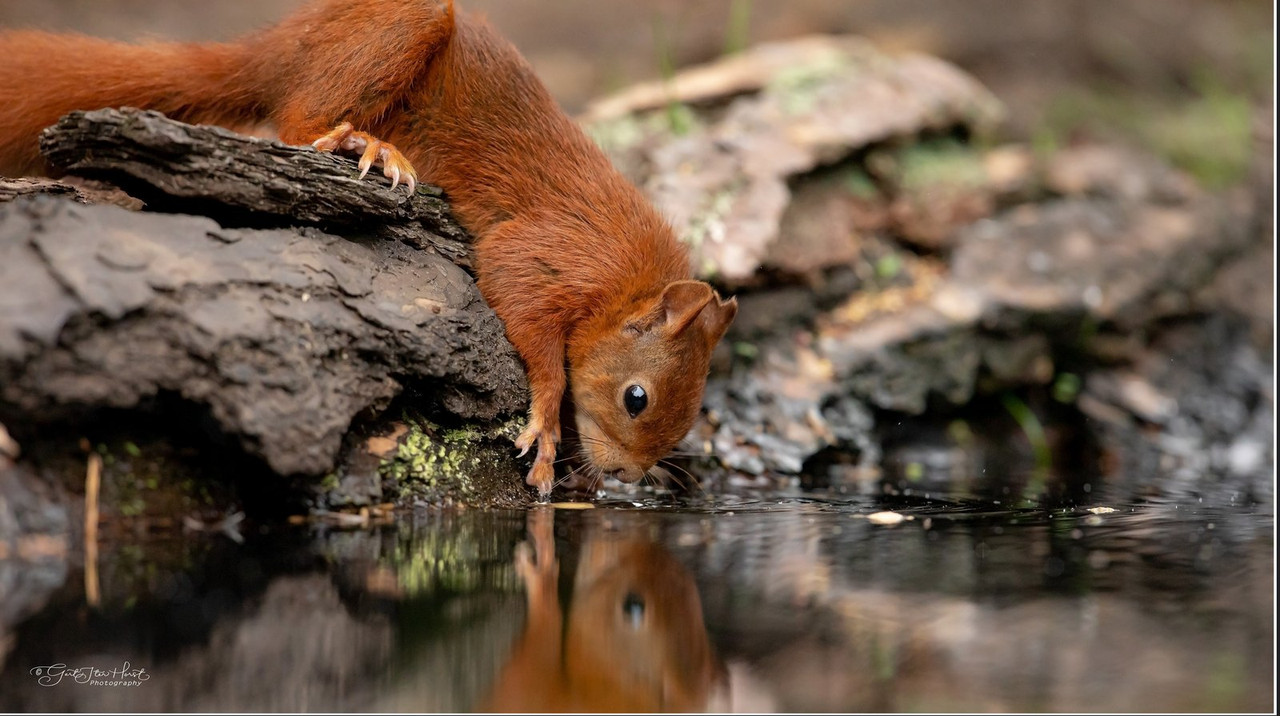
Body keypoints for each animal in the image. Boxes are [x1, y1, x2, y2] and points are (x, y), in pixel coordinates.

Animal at [0, 0, 737, 497]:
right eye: (636, 398)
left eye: (693, 408)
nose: (626, 477)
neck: (626, 282)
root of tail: (285, 42)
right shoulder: (546, 255)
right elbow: (524, 311)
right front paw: (550, 424)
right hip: (399, 30)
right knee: (300, 117)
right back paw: (366, 145)